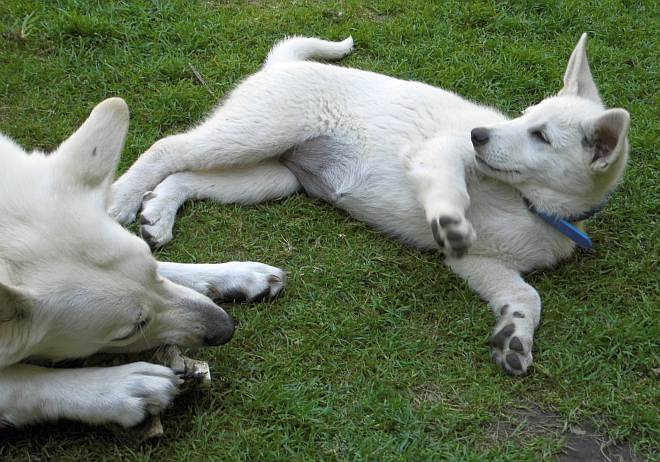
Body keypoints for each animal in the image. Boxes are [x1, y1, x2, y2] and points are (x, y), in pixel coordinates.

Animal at [1, 98, 288, 430]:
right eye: (129, 330)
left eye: (153, 272)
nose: (226, 328)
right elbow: (20, 385)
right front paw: (116, 388)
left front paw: (239, 275)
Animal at [111, 35, 632, 376]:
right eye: (524, 119)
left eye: (540, 136)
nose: (479, 135)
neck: (528, 204)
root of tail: (281, 66)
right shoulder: (441, 152)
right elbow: (450, 186)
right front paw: (449, 218)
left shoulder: (481, 263)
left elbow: (526, 297)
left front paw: (515, 338)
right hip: (256, 132)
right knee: (168, 147)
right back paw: (120, 199)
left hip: (271, 175)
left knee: (187, 176)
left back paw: (157, 212)